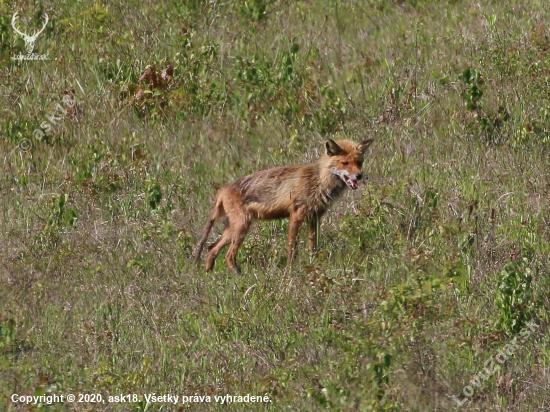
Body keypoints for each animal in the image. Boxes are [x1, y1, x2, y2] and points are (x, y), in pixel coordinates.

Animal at [194, 138, 376, 274]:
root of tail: (223, 189)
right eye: (345, 163)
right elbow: (292, 247)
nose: (359, 176)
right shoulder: (296, 214)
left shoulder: (315, 216)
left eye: (359, 162)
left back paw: (208, 274)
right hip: (241, 228)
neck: (319, 181)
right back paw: (237, 274)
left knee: (211, 248)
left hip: (232, 231)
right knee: (228, 255)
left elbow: (313, 245)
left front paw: (314, 262)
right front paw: (291, 269)